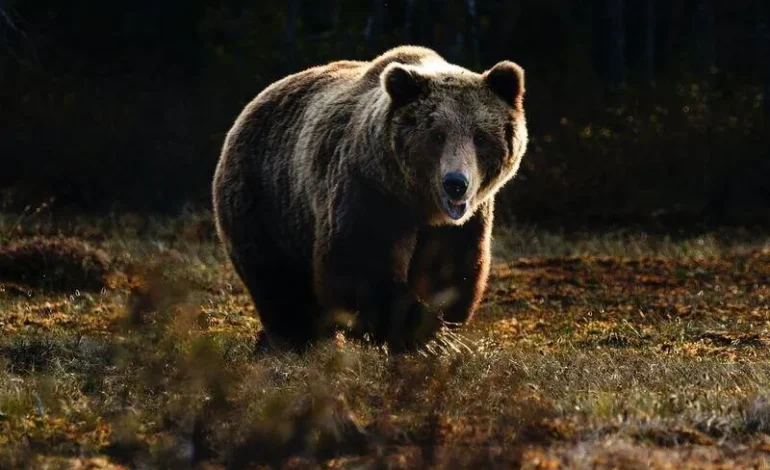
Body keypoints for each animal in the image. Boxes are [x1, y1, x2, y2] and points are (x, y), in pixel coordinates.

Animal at [212, 45, 528, 351]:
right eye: (437, 135)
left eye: (480, 137)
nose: (456, 184)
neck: (418, 203)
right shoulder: (368, 191)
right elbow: (361, 264)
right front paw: (412, 331)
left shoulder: (462, 223)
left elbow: (449, 270)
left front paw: (435, 330)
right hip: (266, 198)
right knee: (278, 280)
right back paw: (294, 339)